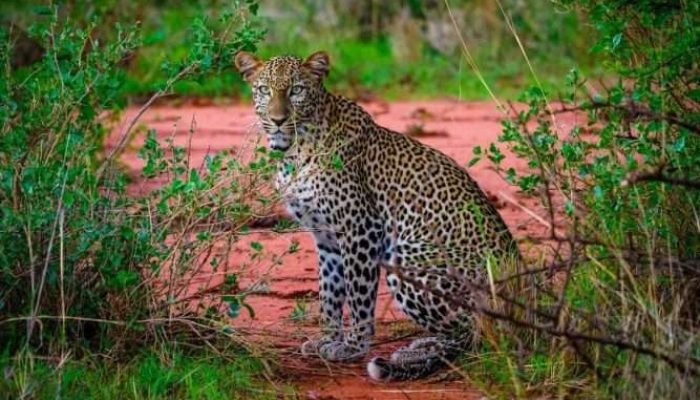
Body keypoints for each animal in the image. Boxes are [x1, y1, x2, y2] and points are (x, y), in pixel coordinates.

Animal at [234, 50, 519, 381]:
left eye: (296, 90)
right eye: (264, 90)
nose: (278, 120)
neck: (295, 151)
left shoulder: (360, 228)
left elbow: (358, 292)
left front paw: (353, 346)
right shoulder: (326, 237)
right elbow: (329, 291)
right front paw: (327, 339)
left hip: (409, 258)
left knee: (475, 332)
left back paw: (416, 354)